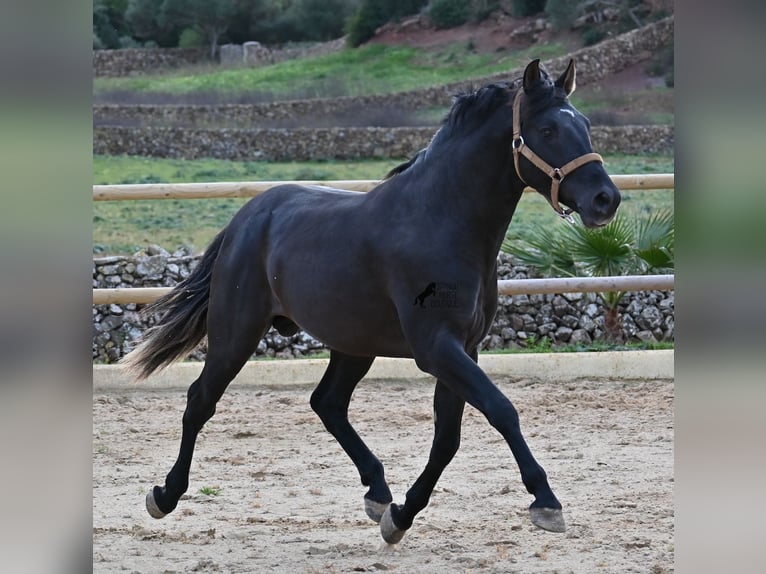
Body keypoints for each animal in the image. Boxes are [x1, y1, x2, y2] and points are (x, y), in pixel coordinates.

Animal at [123, 59, 620, 544]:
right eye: (548, 130)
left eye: (585, 124)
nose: (606, 199)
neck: (441, 221)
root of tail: (246, 219)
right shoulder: (436, 348)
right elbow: (501, 410)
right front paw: (546, 502)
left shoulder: (463, 348)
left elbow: (448, 439)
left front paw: (401, 516)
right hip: (236, 332)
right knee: (201, 400)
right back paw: (164, 495)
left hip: (353, 344)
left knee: (327, 403)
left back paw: (378, 493)